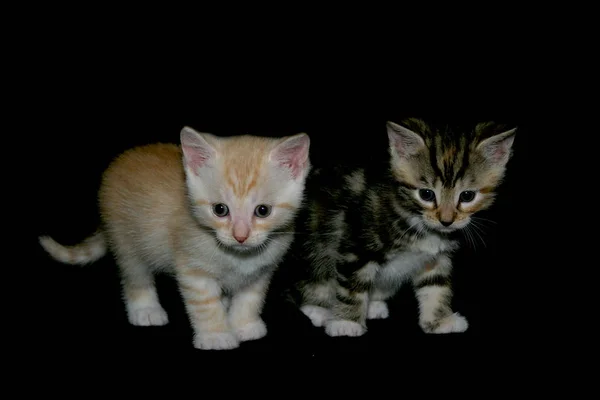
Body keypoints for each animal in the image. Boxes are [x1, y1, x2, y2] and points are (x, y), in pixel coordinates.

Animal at [39, 126, 312, 350]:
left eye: (262, 211)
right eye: (220, 210)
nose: (240, 236)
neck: (238, 257)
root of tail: (124, 157)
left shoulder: (262, 271)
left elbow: (250, 298)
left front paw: (244, 325)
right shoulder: (193, 270)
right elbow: (205, 305)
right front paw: (216, 335)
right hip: (124, 239)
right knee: (134, 275)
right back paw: (146, 309)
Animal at [290, 117, 516, 336]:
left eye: (467, 196)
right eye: (426, 194)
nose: (446, 220)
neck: (414, 220)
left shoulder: (436, 258)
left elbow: (436, 286)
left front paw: (439, 321)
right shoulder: (356, 246)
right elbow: (352, 286)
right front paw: (346, 322)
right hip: (313, 255)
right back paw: (320, 311)